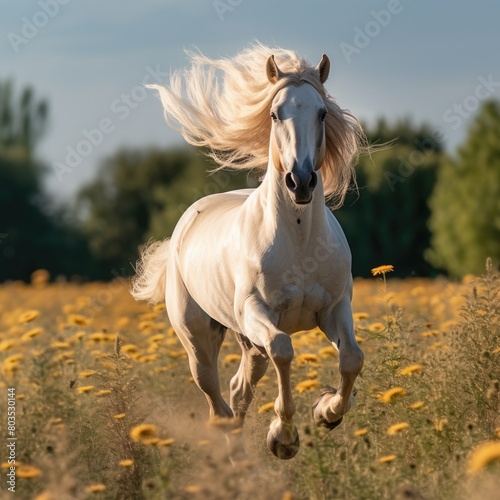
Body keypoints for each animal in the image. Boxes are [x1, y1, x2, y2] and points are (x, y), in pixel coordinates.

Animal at [132, 45, 368, 458]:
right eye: (275, 113)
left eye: (322, 113)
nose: (300, 181)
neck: (299, 240)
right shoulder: (257, 310)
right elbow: (284, 348)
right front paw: (284, 437)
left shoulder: (334, 308)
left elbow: (352, 358)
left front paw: (327, 412)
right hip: (200, 337)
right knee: (216, 397)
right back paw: (234, 451)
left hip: (248, 343)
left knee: (239, 388)